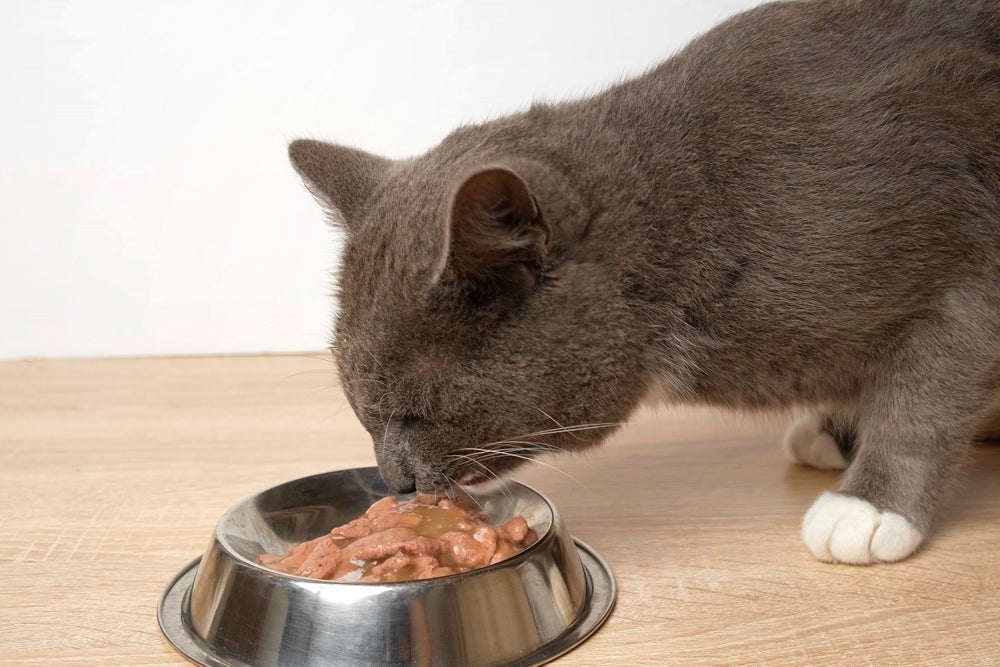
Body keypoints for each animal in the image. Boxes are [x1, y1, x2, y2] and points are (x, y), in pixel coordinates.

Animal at [286, 0, 996, 564]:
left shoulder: (968, 261)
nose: (394, 479)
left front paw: (871, 506)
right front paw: (839, 427)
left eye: (419, 410)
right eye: (361, 412)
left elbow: (925, 392)